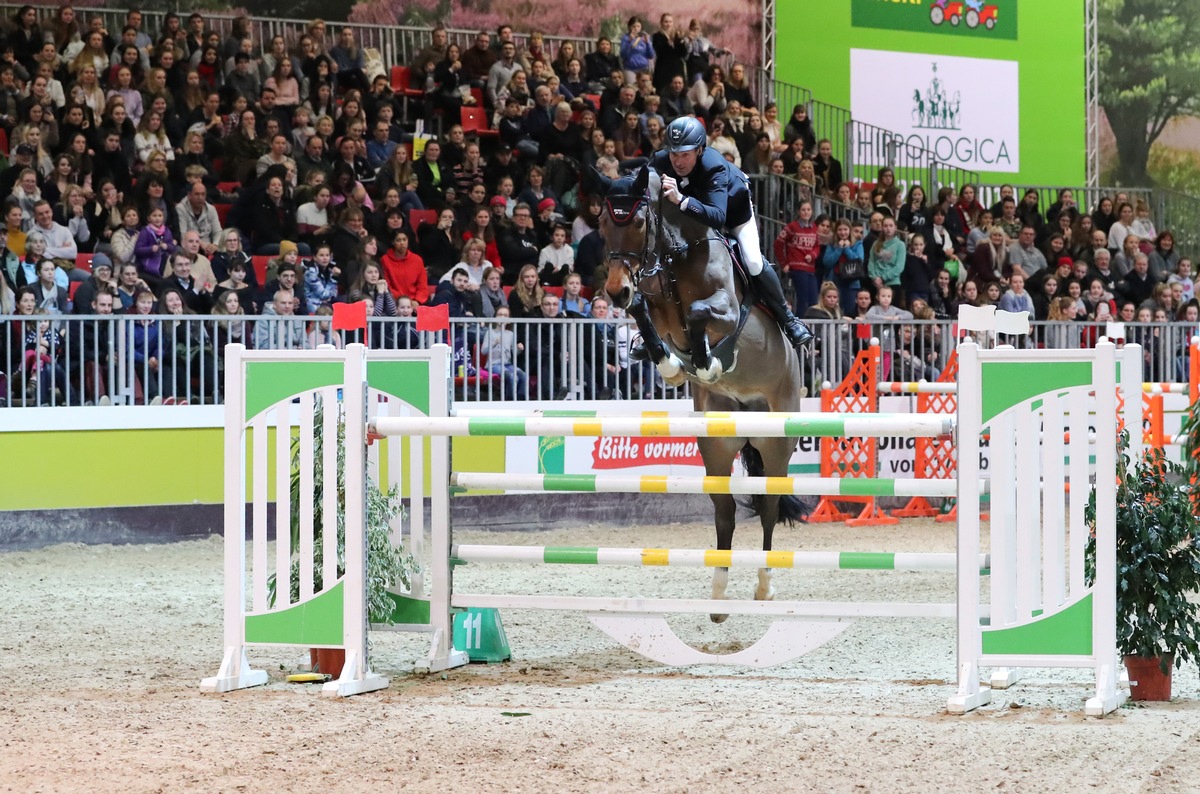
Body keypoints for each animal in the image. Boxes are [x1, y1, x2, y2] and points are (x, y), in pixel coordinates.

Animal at [590, 167, 806, 623]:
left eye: (639, 222)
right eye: (600, 223)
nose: (615, 290)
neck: (675, 255)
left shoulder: (724, 308)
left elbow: (697, 313)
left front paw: (706, 362)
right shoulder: (654, 306)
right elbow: (644, 312)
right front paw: (670, 364)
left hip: (776, 443)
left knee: (769, 507)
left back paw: (764, 587)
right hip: (718, 445)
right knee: (725, 512)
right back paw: (719, 596)